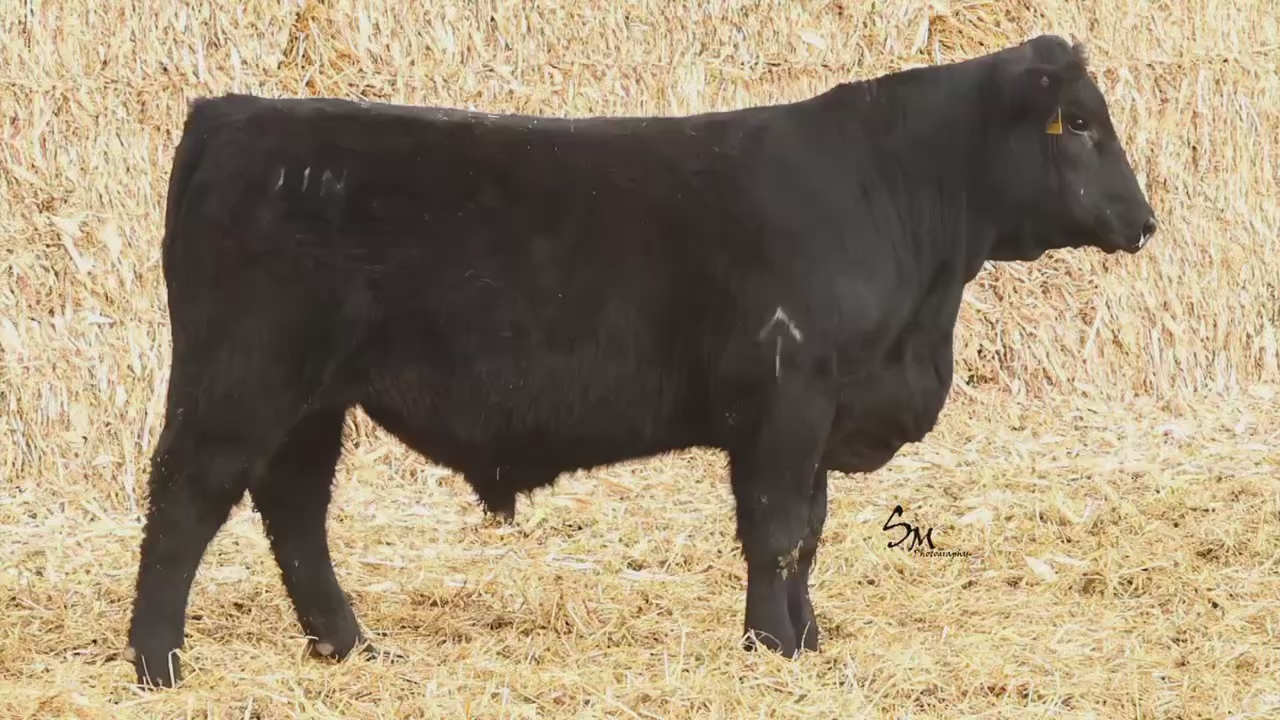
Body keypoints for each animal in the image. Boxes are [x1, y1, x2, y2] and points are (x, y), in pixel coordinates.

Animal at [125, 34, 1157, 688]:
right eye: (1079, 125)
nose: (1144, 221)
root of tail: (232, 114)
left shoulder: (818, 412)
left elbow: (808, 534)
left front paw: (808, 642)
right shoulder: (788, 398)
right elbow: (777, 531)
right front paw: (773, 648)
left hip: (312, 401)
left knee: (293, 511)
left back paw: (349, 648)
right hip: (243, 380)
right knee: (186, 500)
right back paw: (157, 663)